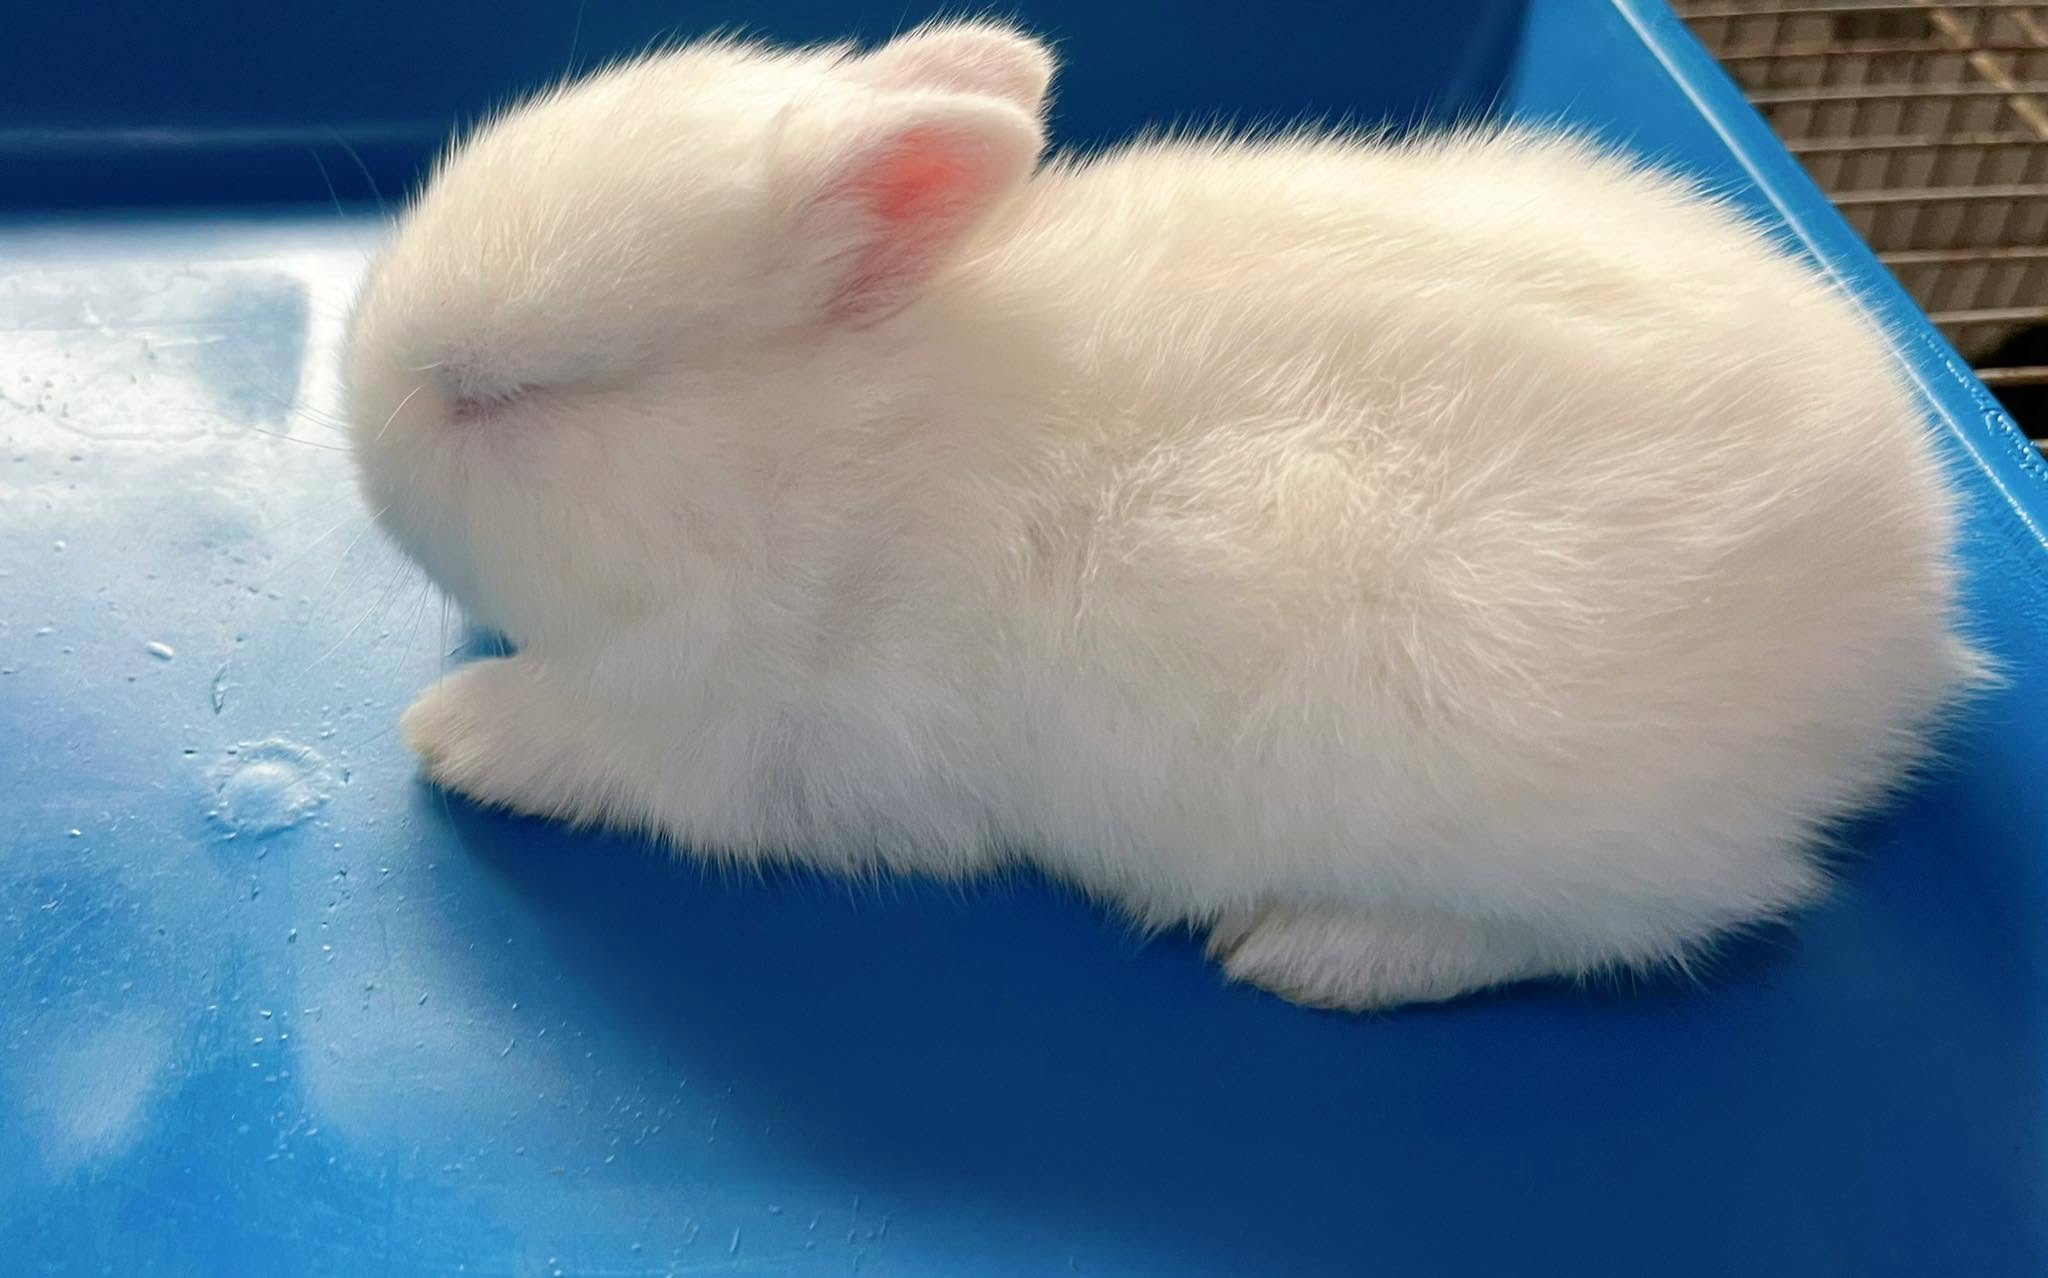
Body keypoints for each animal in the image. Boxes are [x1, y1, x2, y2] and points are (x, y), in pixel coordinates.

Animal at [344, 20, 1982, 1011]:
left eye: (503, 395)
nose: (359, 434)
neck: (813, 457)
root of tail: (1907, 627)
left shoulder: (760, 743)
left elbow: (595, 743)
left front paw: (457, 730)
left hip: (1547, 823)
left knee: (1660, 918)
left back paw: (1314, 954)